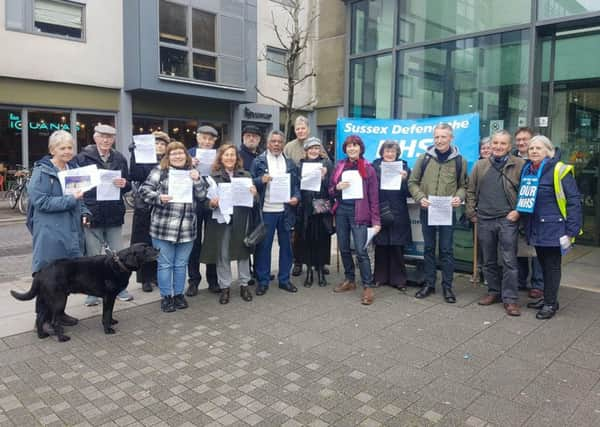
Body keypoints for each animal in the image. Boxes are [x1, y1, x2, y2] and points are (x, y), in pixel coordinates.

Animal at [11, 244, 159, 342]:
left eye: (149, 246)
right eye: (145, 249)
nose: (158, 249)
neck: (118, 264)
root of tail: (41, 272)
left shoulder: (111, 298)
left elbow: (110, 312)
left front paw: (112, 322)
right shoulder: (108, 297)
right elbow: (106, 314)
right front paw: (107, 329)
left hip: (46, 301)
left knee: (40, 318)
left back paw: (41, 335)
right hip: (58, 300)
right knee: (53, 321)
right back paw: (62, 338)